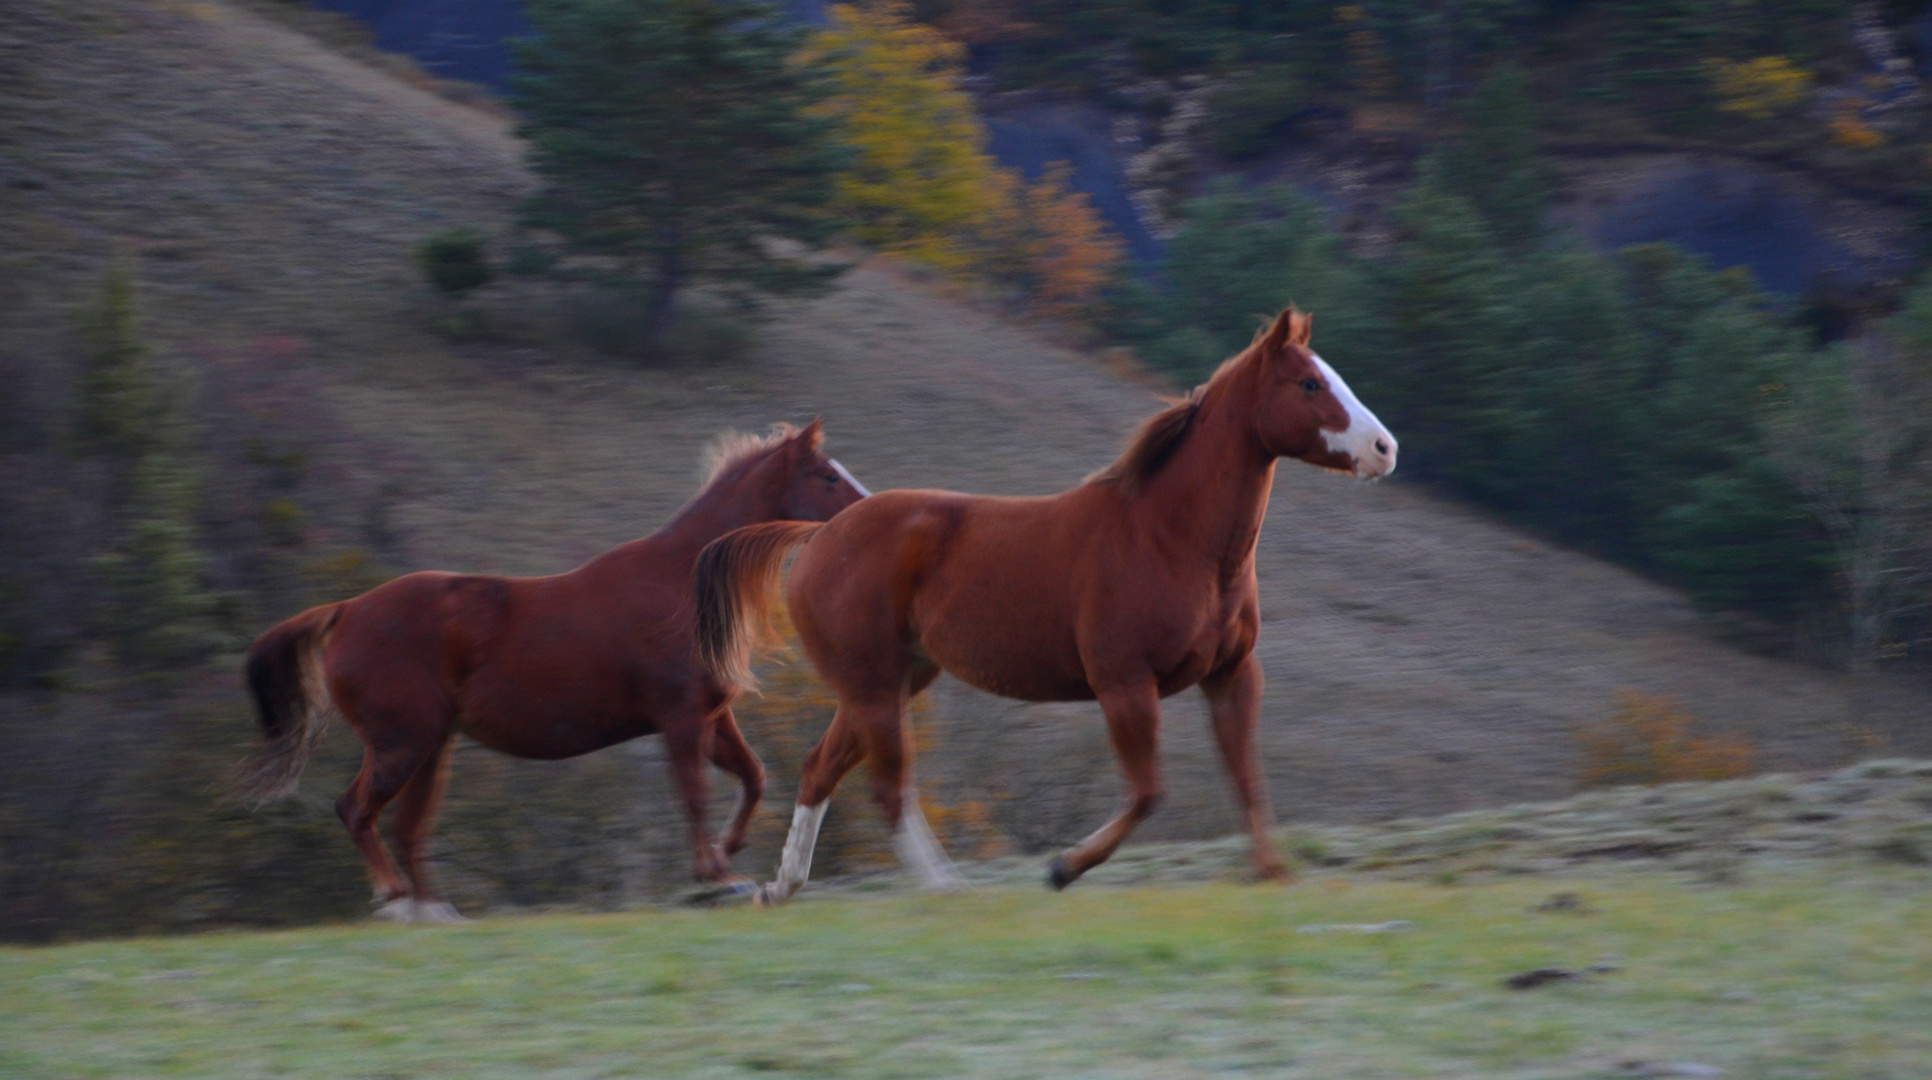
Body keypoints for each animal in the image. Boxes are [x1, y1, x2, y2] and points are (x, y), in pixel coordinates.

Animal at [233, 423, 861, 919]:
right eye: (828, 476)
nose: (866, 509)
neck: (685, 579)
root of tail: (345, 610)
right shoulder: (679, 720)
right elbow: (693, 797)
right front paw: (717, 876)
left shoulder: (712, 717)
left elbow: (753, 776)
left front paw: (729, 856)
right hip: (402, 745)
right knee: (358, 812)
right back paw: (393, 899)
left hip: (431, 748)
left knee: (406, 829)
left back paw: (430, 911)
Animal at [695, 309, 1391, 908]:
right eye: (1308, 382)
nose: (1385, 449)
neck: (1170, 537)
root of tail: (817, 537)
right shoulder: (1124, 684)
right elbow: (1148, 792)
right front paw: (1061, 868)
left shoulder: (1232, 675)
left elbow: (1246, 777)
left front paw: (1273, 873)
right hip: (873, 687)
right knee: (889, 787)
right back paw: (947, 889)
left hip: (889, 682)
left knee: (820, 770)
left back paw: (780, 888)